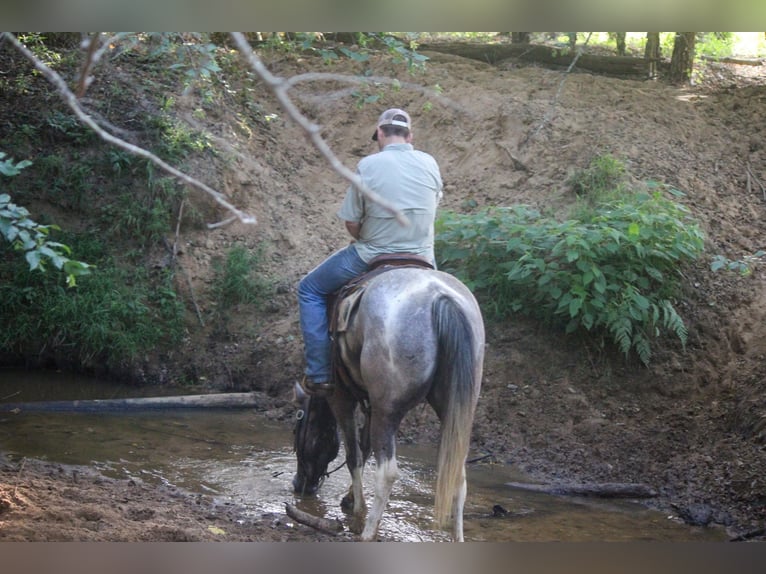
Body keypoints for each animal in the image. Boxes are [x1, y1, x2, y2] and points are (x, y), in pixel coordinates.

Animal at [294, 266, 486, 544]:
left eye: (297, 431)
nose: (299, 485)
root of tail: (441, 298)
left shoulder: (341, 398)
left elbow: (354, 455)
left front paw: (357, 511)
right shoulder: (370, 405)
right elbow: (365, 448)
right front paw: (350, 498)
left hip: (388, 411)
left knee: (387, 473)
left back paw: (367, 532)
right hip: (455, 410)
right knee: (457, 474)